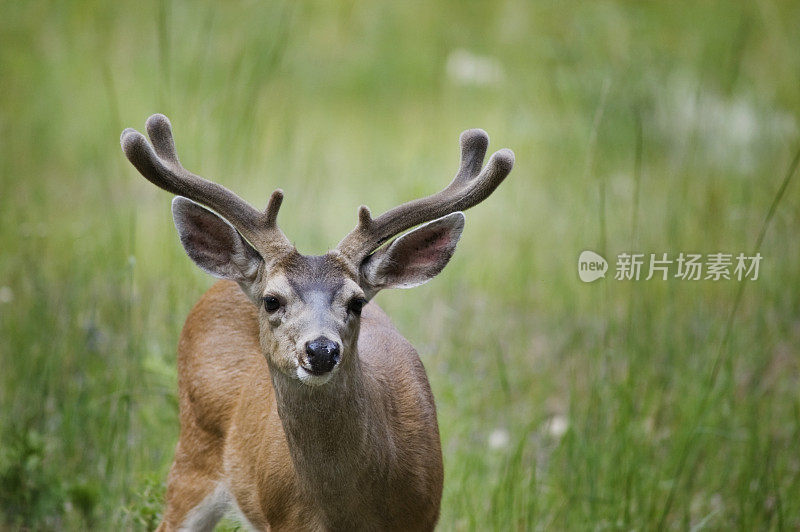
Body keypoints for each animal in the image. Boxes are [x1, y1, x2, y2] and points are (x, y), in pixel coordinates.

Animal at [122, 114, 516, 528]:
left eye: (357, 302)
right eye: (272, 300)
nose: (322, 350)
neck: (346, 512)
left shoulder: (424, 516)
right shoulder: (283, 521)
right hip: (192, 452)